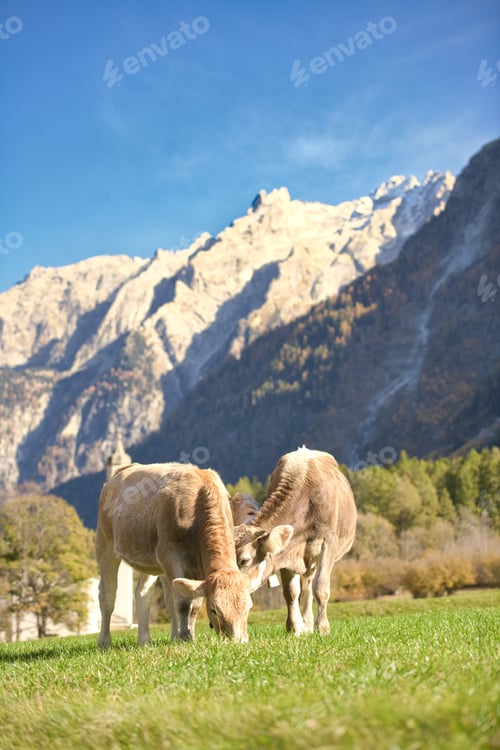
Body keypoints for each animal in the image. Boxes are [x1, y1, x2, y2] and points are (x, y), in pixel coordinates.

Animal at [95, 462, 277, 647]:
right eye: (214, 610)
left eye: (249, 607)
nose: (238, 642)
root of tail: (124, 470)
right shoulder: (170, 556)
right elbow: (182, 602)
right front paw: (184, 637)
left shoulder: (198, 567)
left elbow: (194, 604)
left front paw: (190, 636)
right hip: (105, 544)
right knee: (107, 595)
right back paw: (104, 643)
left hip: (149, 561)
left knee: (142, 594)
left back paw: (144, 641)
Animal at [234, 446, 357, 635]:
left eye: (244, 560)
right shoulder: (287, 552)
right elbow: (291, 592)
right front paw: (294, 627)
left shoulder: (328, 543)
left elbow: (321, 587)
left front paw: (323, 627)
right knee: (305, 583)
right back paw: (306, 624)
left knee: (310, 583)